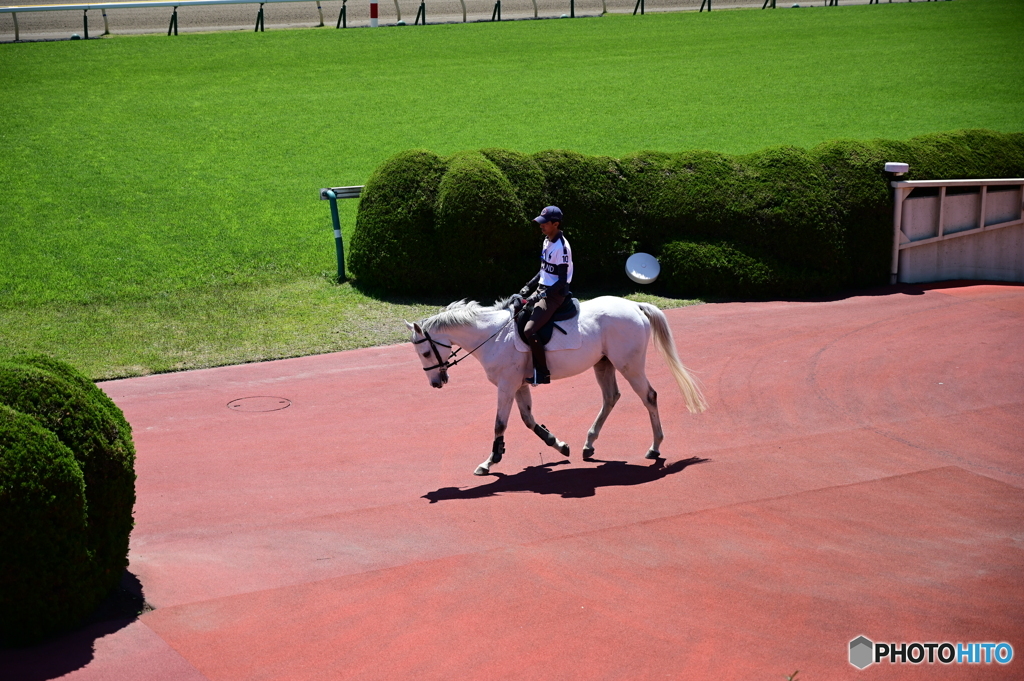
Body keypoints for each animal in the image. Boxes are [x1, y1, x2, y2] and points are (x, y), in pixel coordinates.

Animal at [406, 296, 706, 477]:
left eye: (425, 353)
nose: (436, 382)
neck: (493, 334)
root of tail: (634, 306)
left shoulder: (506, 385)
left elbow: (500, 424)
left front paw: (489, 461)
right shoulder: (519, 386)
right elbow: (528, 420)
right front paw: (558, 444)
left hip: (629, 365)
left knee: (649, 396)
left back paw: (655, 447)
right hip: (604, 364)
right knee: (611, 397)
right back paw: (589, 444)